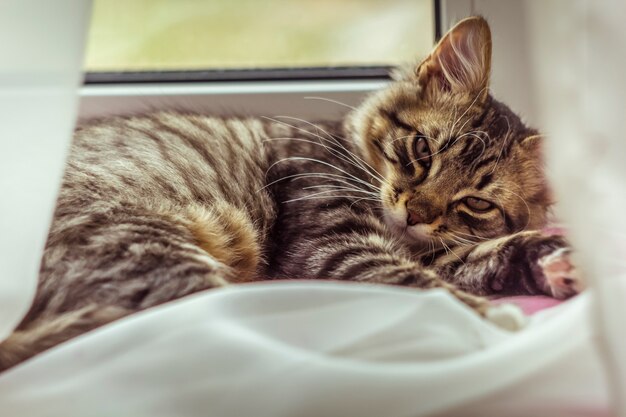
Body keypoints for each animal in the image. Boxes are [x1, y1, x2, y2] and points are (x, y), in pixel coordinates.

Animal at [0, 16, 580, 370]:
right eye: (421, 149)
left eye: (476, 203)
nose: (414, 214)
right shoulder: (336, 246)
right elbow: (422, 284)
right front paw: (493, 320)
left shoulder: (435, 251)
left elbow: (493, 253)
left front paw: (559, 263)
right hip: (150, 249)